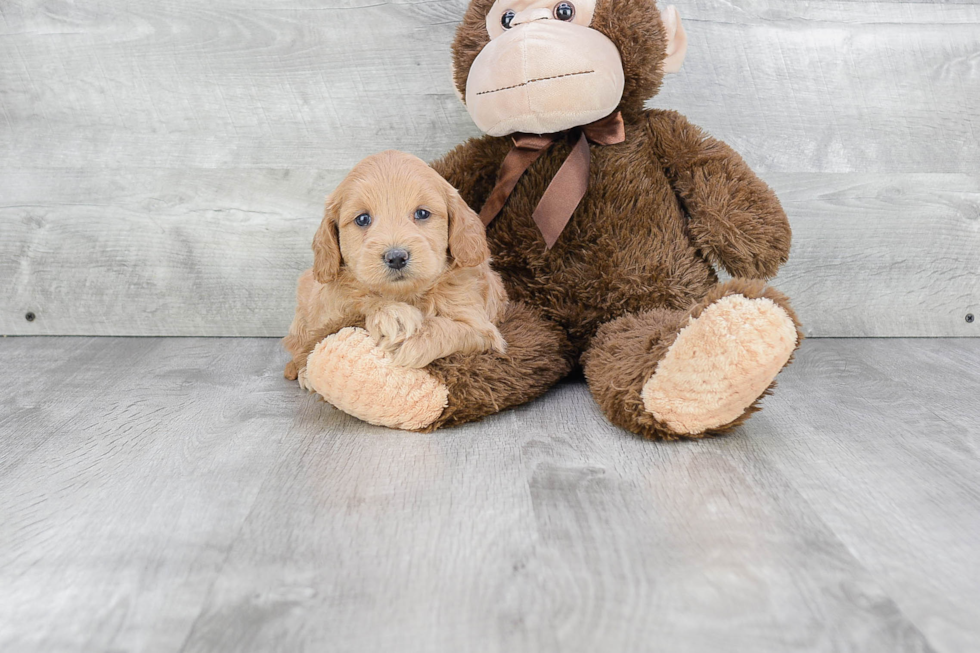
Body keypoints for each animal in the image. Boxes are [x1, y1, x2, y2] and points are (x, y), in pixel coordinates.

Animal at [282, 150, 506, 384]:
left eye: (422, 213)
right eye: (363, 219)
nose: (396, 257)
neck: (406, 294)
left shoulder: (482, 328)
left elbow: (454, 328)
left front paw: (412, 337)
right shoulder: (328, 304)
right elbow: (356, 299)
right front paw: (393, 314)